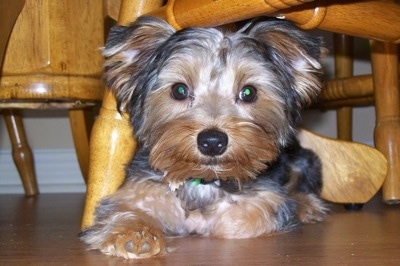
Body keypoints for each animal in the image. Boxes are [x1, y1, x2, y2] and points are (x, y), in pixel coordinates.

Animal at [80, 16, 328, 258]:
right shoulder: (138, 190)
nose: (212, 142)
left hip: (305, 161)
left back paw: (306, 204)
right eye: (179, 90)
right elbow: (125, 208)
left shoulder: (263, 204)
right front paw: (135, 235)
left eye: (249, 92)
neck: (204, 180)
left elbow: (247, 218)